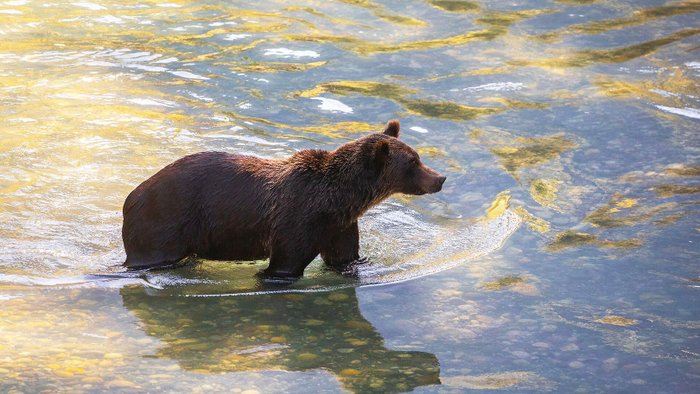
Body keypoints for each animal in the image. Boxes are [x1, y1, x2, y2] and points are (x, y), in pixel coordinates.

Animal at [122, 118, 446, 278]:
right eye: (413, 162)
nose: (440, 178)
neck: (339, 199)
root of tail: (130, 198)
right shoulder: (298, 218)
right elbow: (285, 264)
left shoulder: (339, 225)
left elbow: (344, 257)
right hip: (165, 222)